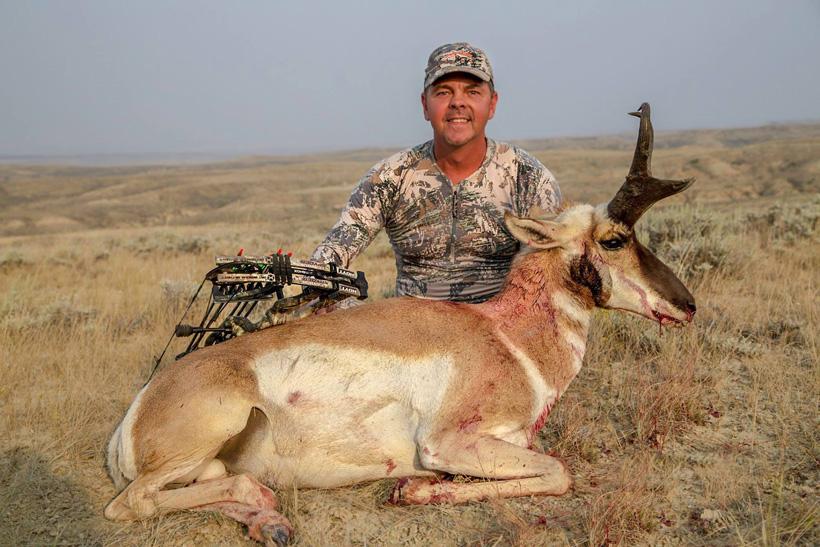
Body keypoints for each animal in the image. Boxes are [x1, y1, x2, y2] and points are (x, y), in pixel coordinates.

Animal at [104, 103, 695, 545]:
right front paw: (412, 490)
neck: (504, 334)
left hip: (209, 463)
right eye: (614, 240)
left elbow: (550, 470)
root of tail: (136, 411)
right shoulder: (447, 443)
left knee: (209, 490)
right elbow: (558, 472)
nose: (687, 305)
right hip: (213, 430)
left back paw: (270, 521)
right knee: (131, 503)